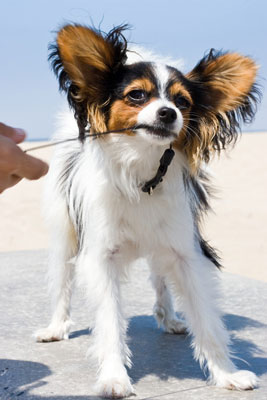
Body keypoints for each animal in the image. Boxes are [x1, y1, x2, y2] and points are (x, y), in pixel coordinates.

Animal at [34, 24, 260, 396]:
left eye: (183, 102)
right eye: (137, 95)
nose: (168, 113)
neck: (142, 169)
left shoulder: (186, 253)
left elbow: (207, 322)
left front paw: (226, 374)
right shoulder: (101, 258)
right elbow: (110, 323)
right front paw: (114, 378)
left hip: (161, 247)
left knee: (160, 279)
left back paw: (169, 317)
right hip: (66, 234)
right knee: (62, 282)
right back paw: (56, 326)